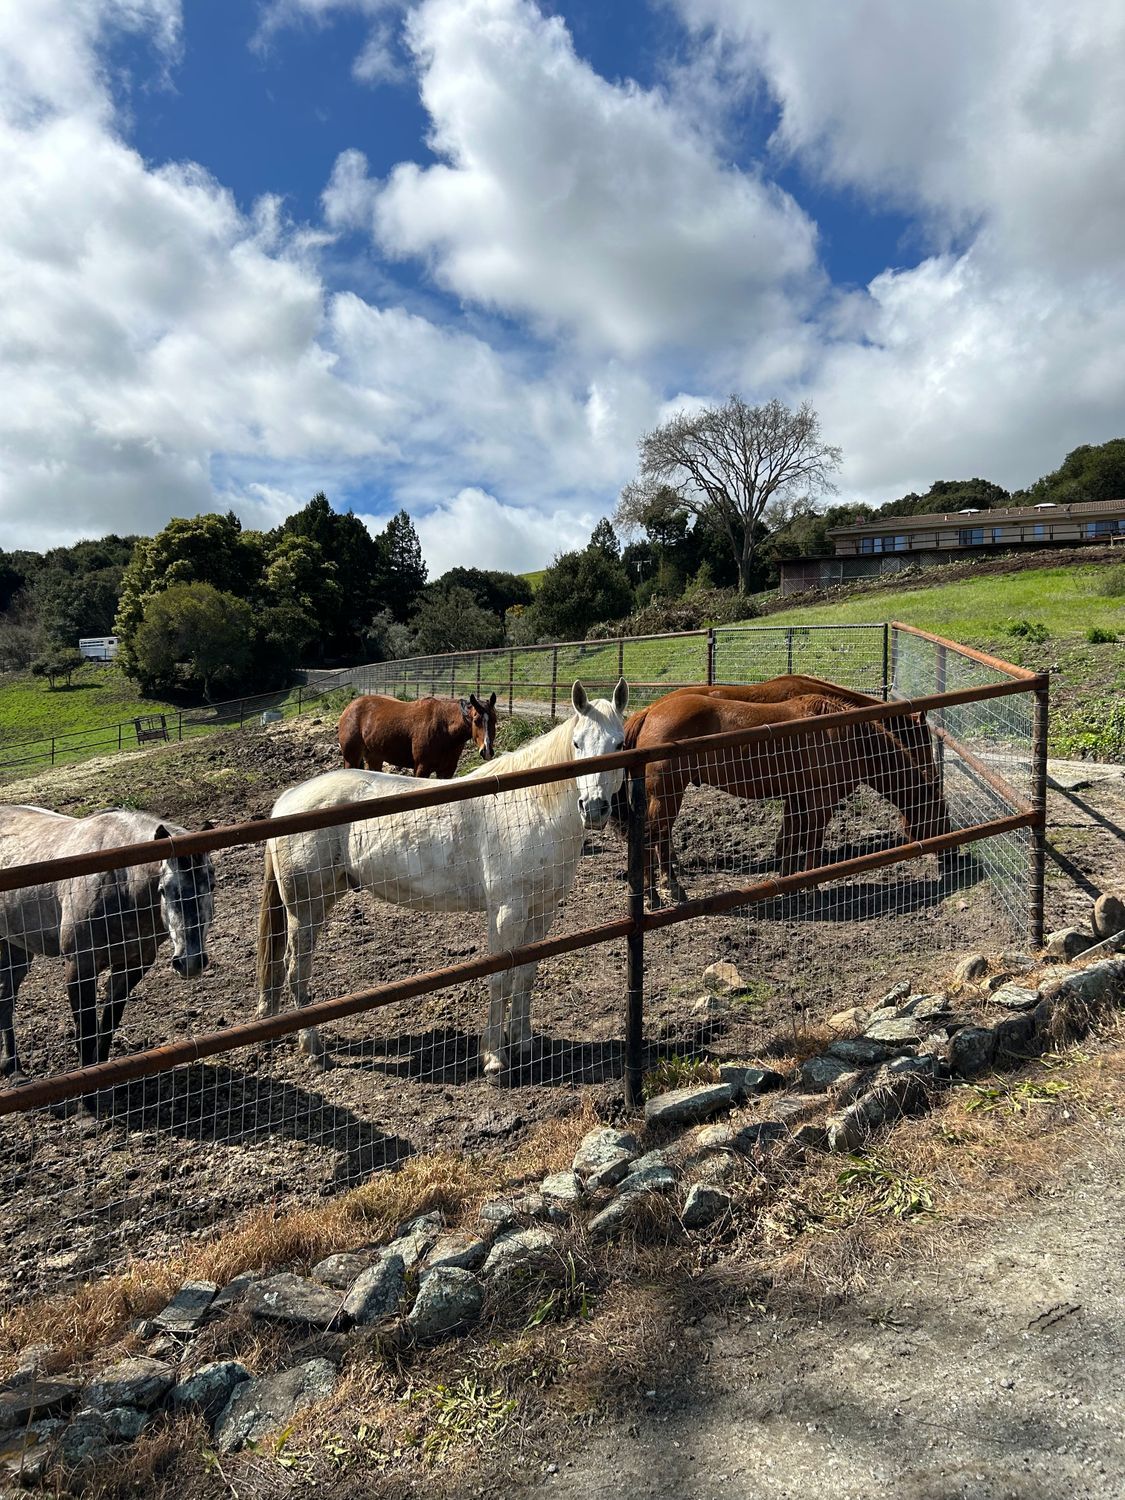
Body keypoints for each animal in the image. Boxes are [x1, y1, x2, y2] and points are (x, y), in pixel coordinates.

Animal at [0, 806, 215, 1077]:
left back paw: (13, 1068)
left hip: (17, 950)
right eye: (163, 889)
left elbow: (109, 1024)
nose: (191, 961)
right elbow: (87, 1034)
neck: (119, 882)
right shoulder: (79, 968)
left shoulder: (134, 964)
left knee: (6, 997)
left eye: (212, 885)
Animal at [337, 692, 498, 779]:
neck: (444, 727)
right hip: (351, 759)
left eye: (494, 720)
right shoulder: (421, 768)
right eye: (476, 721)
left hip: (374, 758)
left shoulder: (447, 771)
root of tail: (349, 707)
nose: (487, 751)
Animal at [623, 692, 951, 906]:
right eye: (940, 812)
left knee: (659, 838)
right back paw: (655, 896)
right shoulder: (820, 802)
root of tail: (649, 712)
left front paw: (789, 885)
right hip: (666, 795)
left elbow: (791, 839)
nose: (953, 854)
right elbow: (812, 843)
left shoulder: (797, 798)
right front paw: (812, 888)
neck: (844, 736)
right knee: (654, 838)